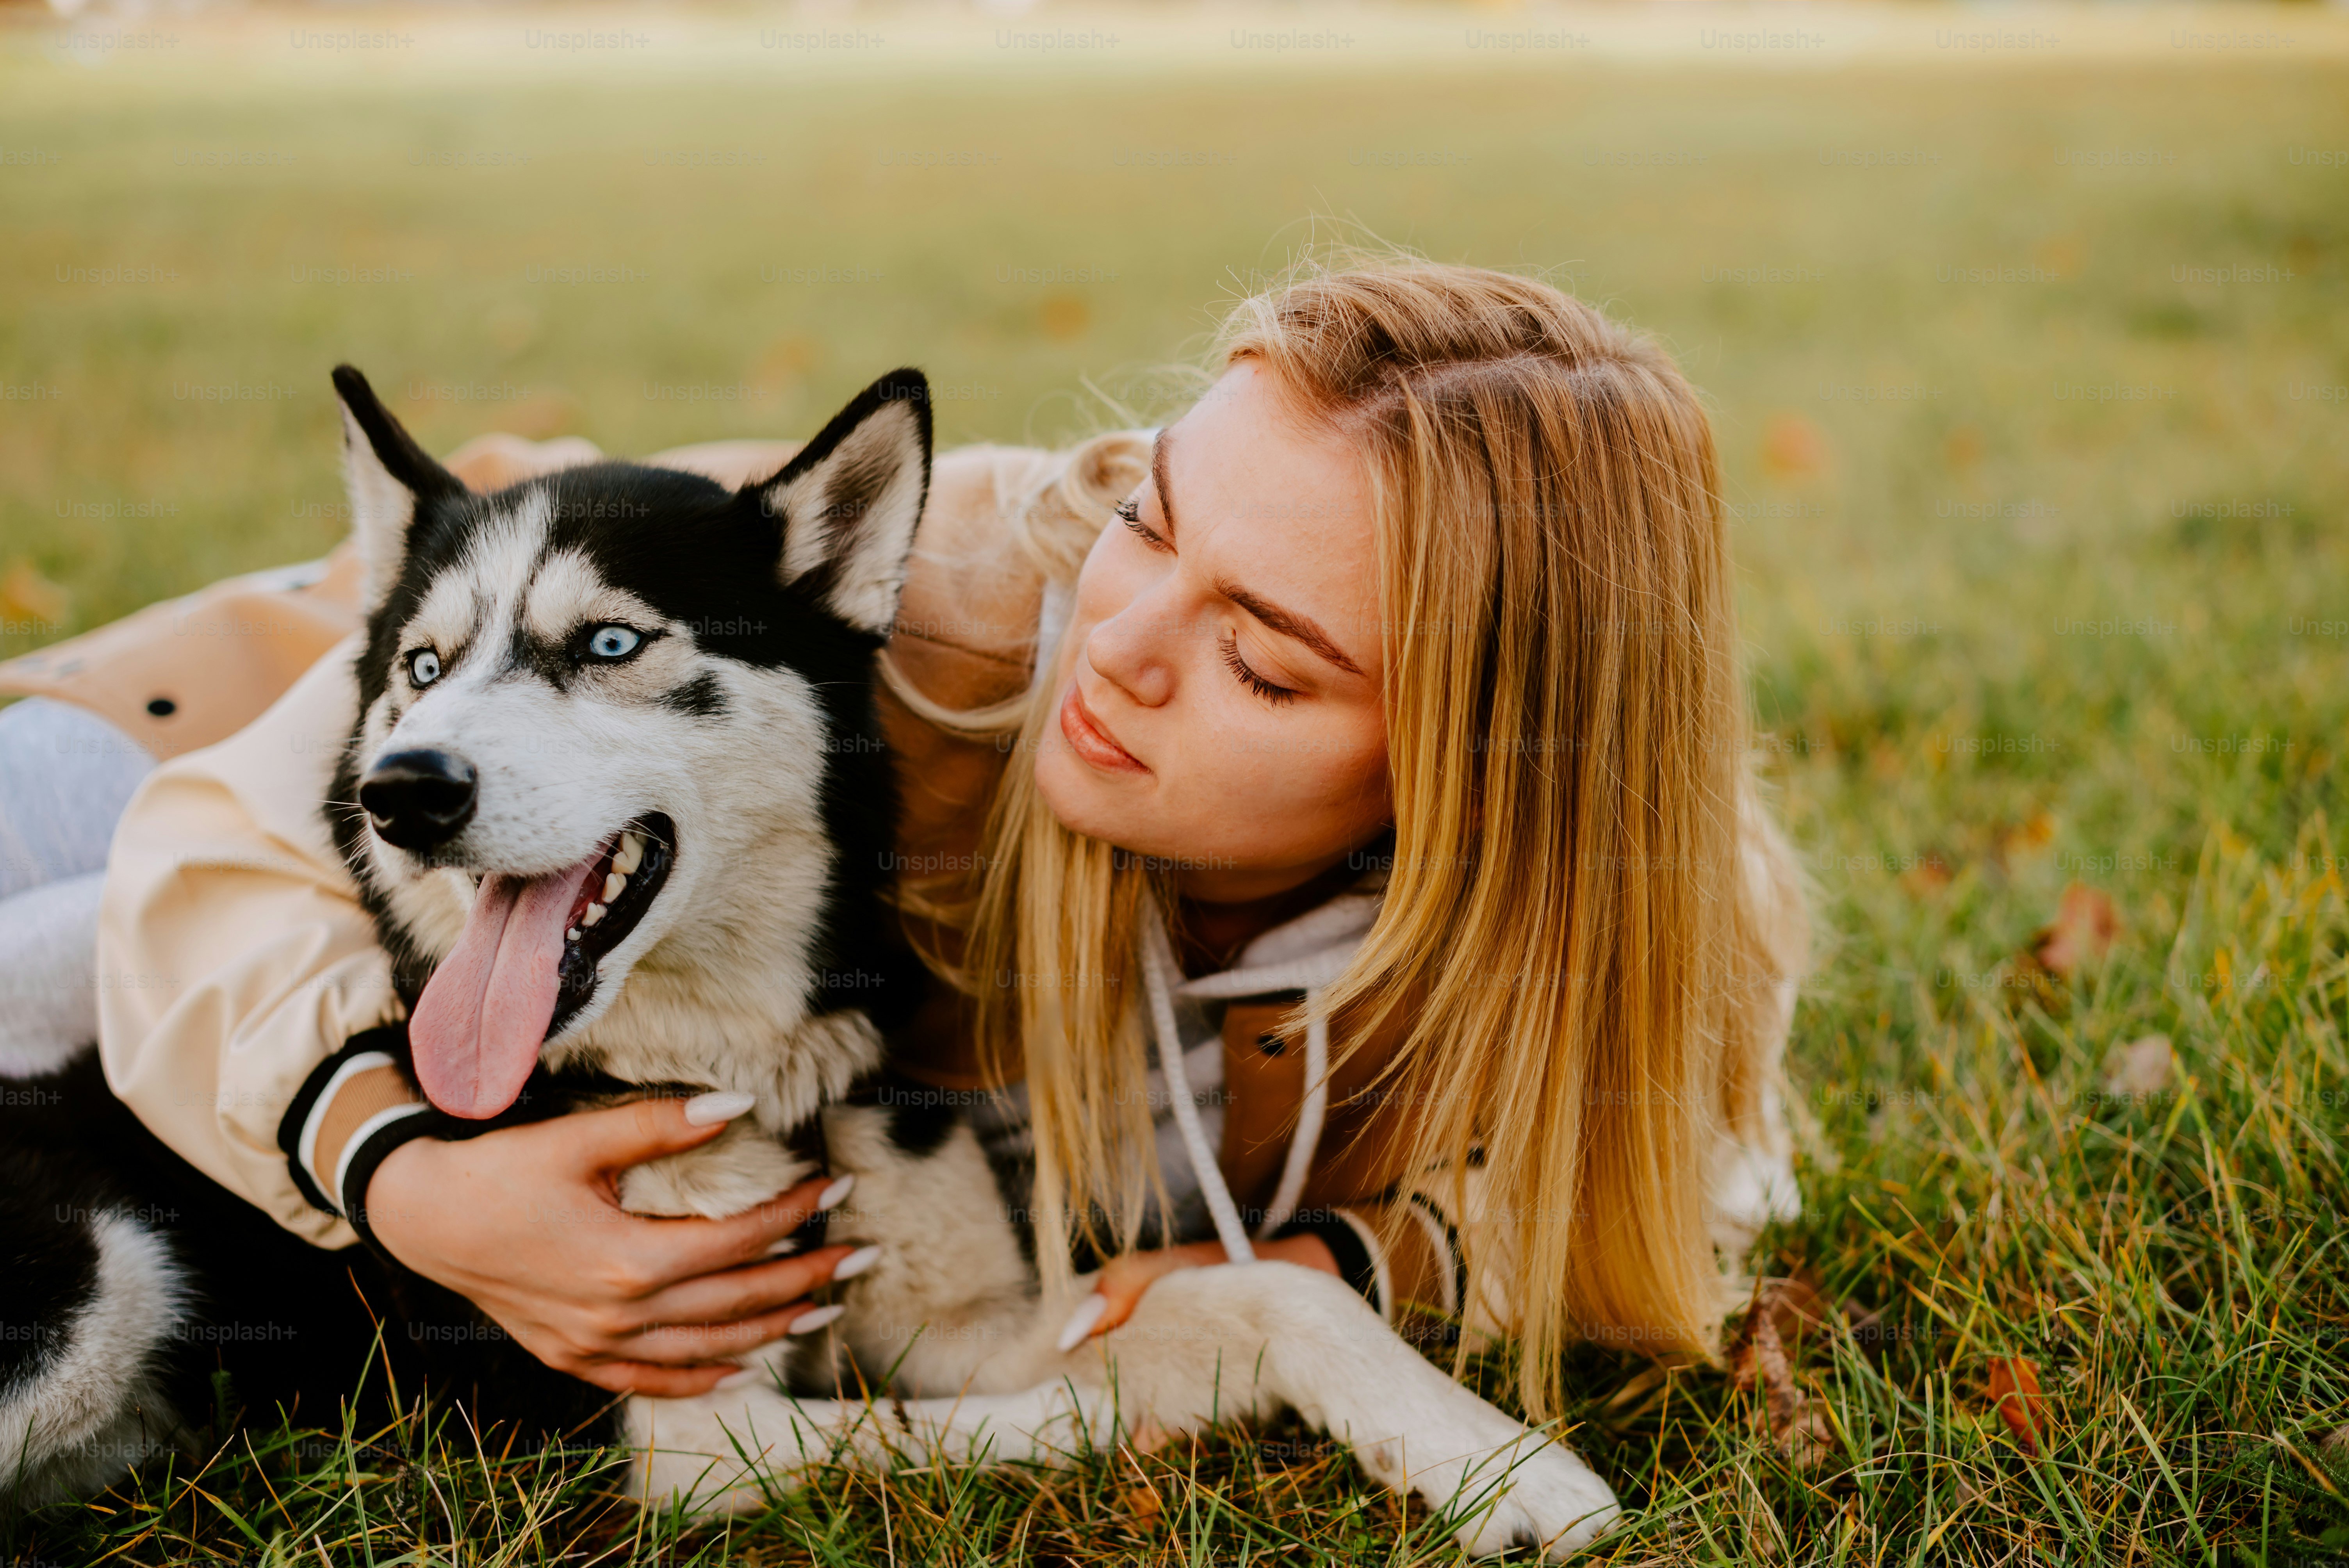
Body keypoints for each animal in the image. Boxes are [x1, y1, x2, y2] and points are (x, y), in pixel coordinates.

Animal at [0, 368, 1616, 1558]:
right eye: (421, 667)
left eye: (608, 643)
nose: (404, 787)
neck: (751, 1082)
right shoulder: (701, 1432)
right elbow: (1003, 1419)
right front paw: (1168, 1412)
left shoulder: (959, 1315)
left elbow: (1271, 1294)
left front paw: (1499, 1463)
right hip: (97, 1267)